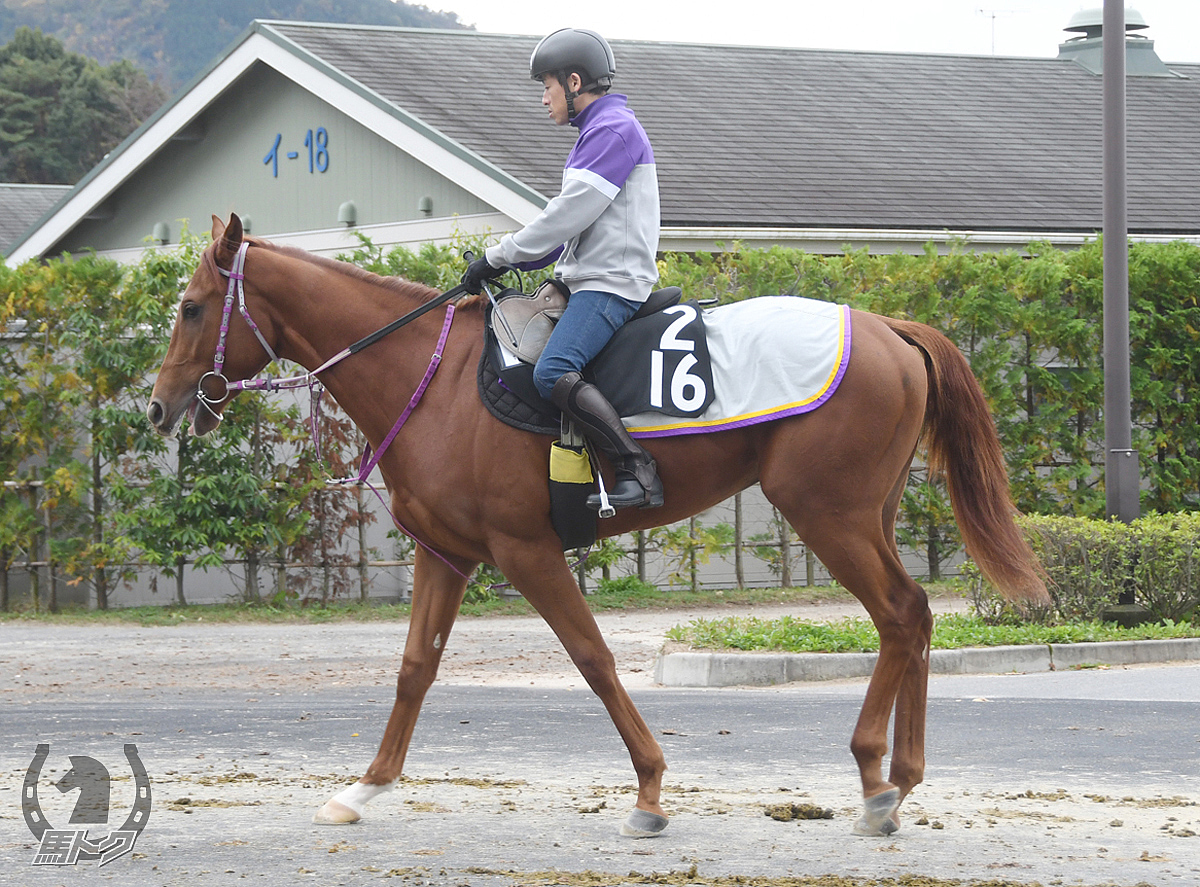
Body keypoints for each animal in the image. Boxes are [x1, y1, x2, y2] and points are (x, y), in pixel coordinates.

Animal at [147, 214, 1051, 840]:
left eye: (191, 308)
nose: (158, 406)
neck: (433, 379)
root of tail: (887, 325)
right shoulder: (449, 554)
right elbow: (413, 669)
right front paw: (363, 785)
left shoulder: (526, 551)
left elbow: (593, 658)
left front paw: (649, 789)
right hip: (867, 514)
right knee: (917, 616)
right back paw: (902, 772)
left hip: (829, 513)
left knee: (899, 615)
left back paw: (874, 776)